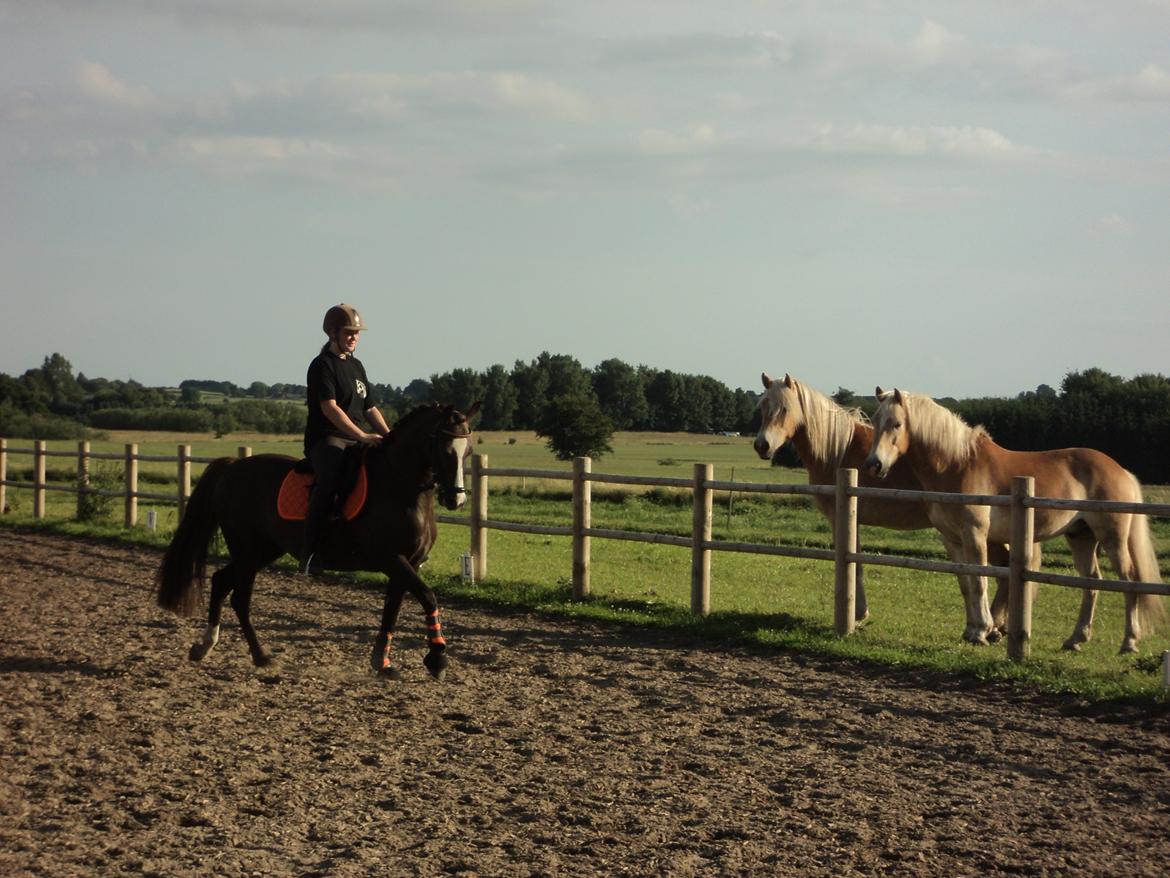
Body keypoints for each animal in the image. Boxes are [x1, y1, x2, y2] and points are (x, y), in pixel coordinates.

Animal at [156, 402, 479, 678]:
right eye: (445, 450)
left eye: (467, 451)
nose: (456, 499)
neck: (400, 489)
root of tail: (234, 465)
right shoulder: (391, 559)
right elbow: (427, 596)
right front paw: (437, 659)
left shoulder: (408, 563)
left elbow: (392, 609)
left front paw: (383, 663)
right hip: (247, 550)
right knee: (240, 598)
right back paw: (261, 657)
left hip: (262, 550)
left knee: (221, 581)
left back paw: (204, 646)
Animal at [748, 374, 1015, 627]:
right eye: (763, 406)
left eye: (784, 408)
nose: (762, 445)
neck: (839, 450)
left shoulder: (841, 518)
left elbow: (855, 564)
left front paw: (858, 614)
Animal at [865, 391, 1165, 655]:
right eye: (875, 421)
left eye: (896, 423)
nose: (874, 464)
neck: (956, 465)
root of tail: (1120, 469)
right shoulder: (951, 538)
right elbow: (966, 584)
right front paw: (971, 630)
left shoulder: (975, 534)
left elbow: (980, 580)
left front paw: (981, 631)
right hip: (1081, 536)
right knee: (1092, 582)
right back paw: (1075, 640)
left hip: (1112, 537)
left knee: (1128, 580)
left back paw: (1129, 643)